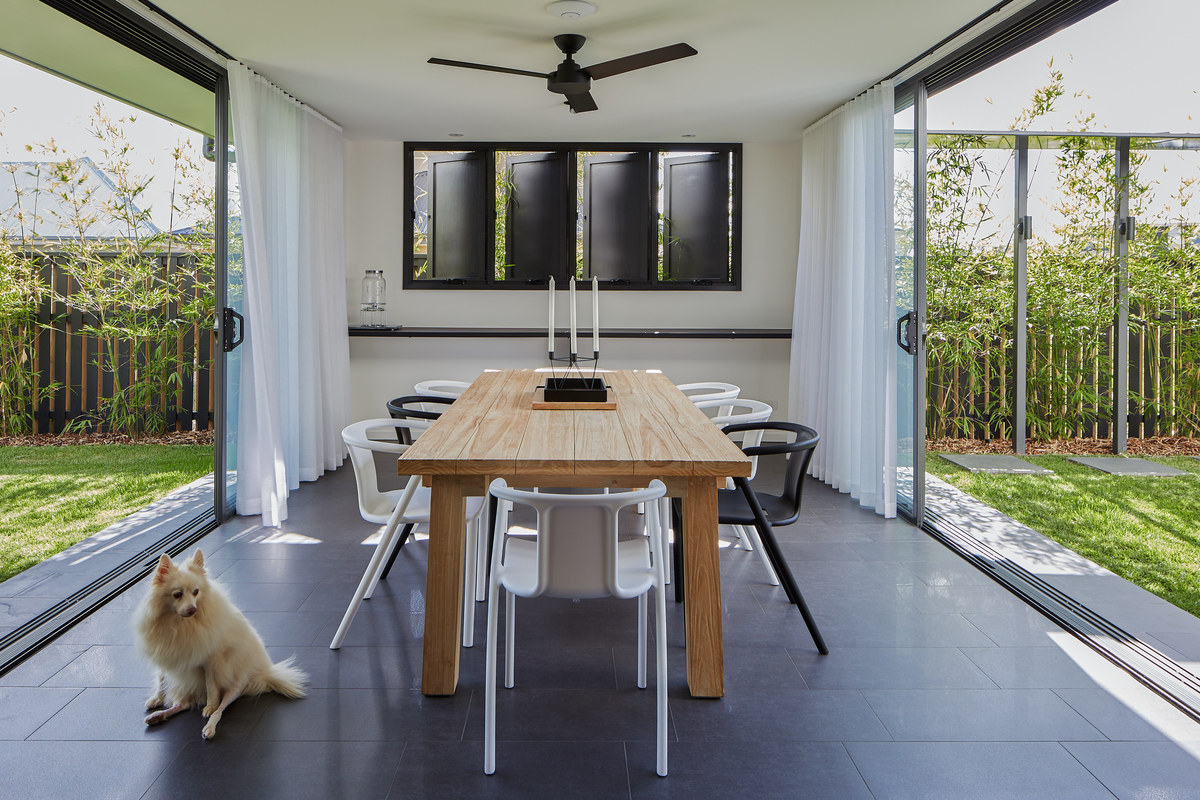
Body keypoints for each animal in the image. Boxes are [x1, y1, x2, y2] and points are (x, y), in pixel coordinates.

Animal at [135, 551, 309, 738]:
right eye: (177, 594)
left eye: (196, 592)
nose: (192, 609)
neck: (179, 624)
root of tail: (262, 674)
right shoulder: (164, 656)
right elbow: (161, 680)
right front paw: (157, 698)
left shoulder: (211, 661)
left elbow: (211, 686)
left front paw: (209, 706)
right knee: (184, 705)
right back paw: (158, 716)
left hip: (235, 687)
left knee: (220, 709)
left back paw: (209, 727)